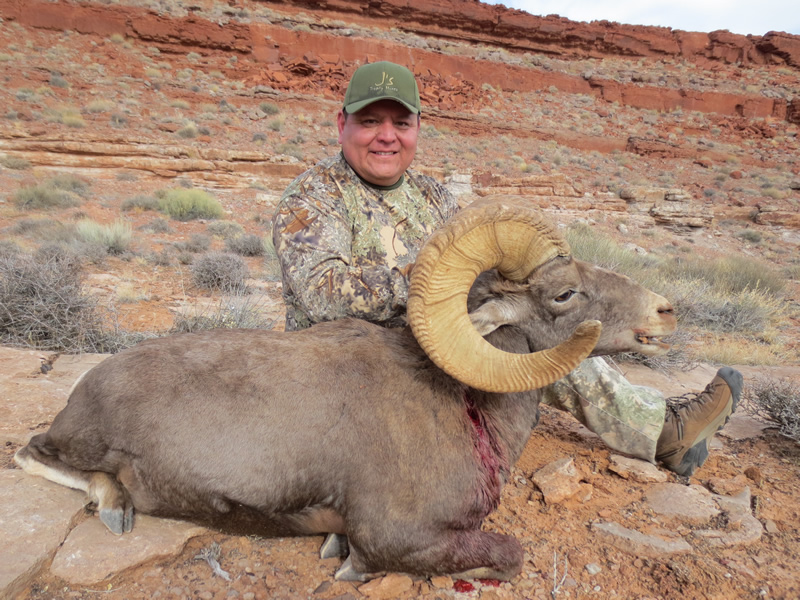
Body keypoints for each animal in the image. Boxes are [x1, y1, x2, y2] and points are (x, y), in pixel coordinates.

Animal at [14, 196, 676, 582]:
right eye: (564, 293)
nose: (665, 313)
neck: (469, 410)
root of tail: (85, 389)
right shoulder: (400, 536)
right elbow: (508, 556)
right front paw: (348, 565)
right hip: (74, 447)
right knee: (31, 455)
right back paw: (115, 506)